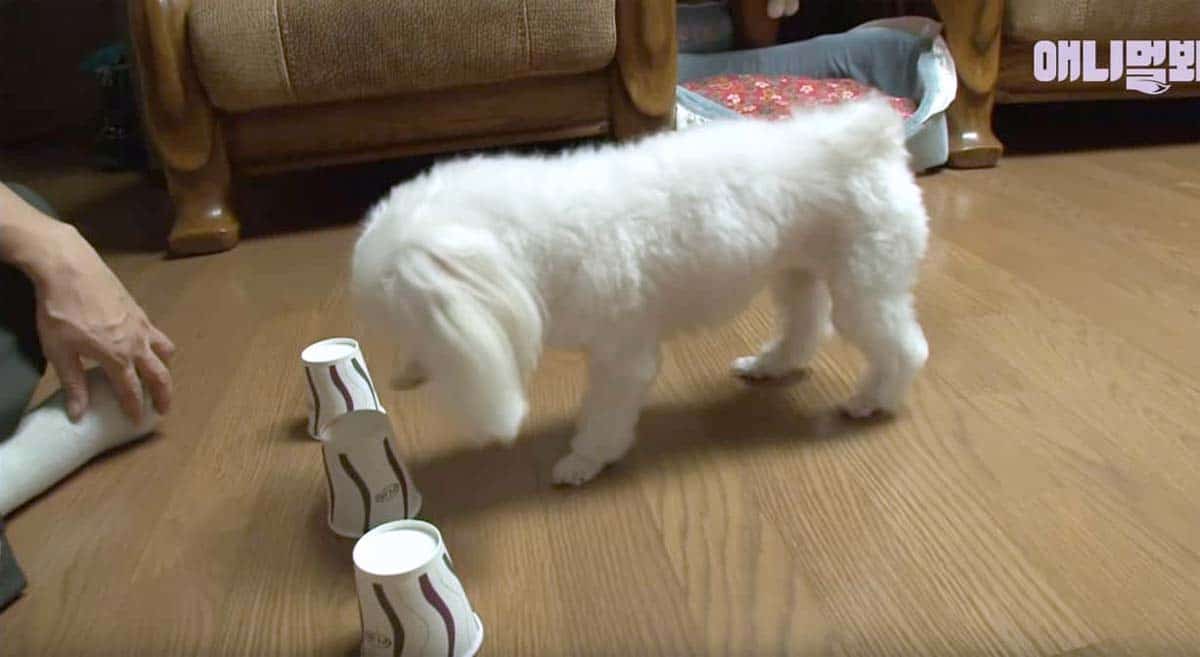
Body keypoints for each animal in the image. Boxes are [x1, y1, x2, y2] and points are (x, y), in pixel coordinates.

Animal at [350, 98, 931, 486]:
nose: (399, 380)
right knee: (806, 325)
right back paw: (771, 365)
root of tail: (870, 140)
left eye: (408, 323)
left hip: (864, 284)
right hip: (797, 271)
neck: (543, 232)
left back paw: (872, 400)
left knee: (903, 349)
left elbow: (606, 415)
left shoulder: (622, 353)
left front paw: (584, 460)